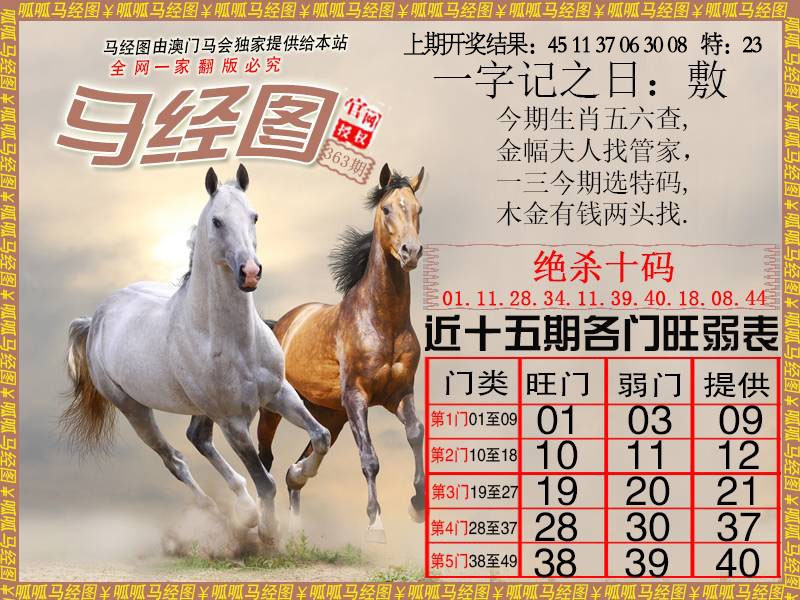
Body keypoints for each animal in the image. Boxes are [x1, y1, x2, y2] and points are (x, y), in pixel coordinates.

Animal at [63, 165, 331, 543]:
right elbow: (265, 480)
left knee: (197, 438)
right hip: (134, 409)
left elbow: (320, 437)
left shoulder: (278, 393)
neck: (235, 341)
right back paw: (225, 516)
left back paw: (243, 509)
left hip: (200, 409)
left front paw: (298, 474)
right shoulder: (233, 421)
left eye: (254, 216)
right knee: (174, 459)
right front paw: (268, 531)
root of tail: (96, 317)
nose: (250, 272)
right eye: (217, 221)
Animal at [256, 163, 425, 543]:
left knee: (298, 466)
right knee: (265, 458)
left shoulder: (399, 395)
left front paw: (417, 505)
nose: (410, 252)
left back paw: (297, 509)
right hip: (275, 409)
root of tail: (280, 324)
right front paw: (376, 524)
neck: (382, 321)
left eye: (418, 209)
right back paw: (264, 524)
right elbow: (370, 458)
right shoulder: (357, 397)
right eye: (386, 209)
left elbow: (415, 434)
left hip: (329, 414)